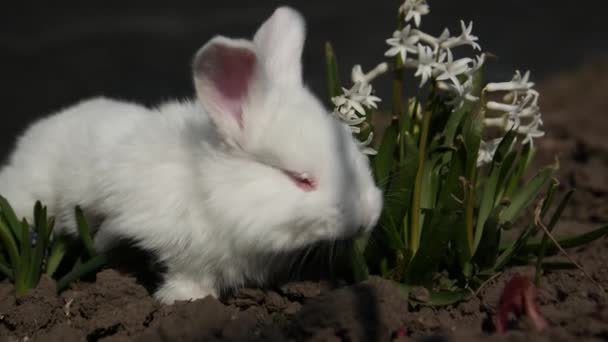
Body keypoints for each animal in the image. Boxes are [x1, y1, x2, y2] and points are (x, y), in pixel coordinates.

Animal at [0, 6, 380, 304]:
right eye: (300, 179)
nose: (368, 217)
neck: (209, 185)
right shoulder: (175, 243)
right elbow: (183, 274)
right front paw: (188, 300)